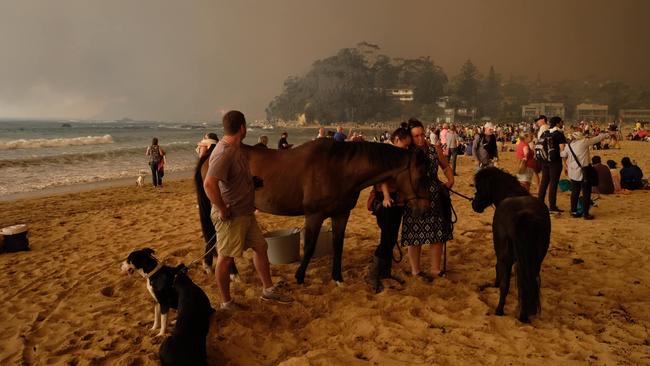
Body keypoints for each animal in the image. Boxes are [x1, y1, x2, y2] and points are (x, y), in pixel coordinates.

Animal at [196, 139, 430, 284]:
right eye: (421, 177)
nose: (424, 209)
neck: (338, 168)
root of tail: (213, 150)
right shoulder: (314, 215)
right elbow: (308, 247)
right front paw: (299, 277)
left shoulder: (341, 214)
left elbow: (338, 246)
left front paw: (337, 278)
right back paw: (232, 274)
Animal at [470, 167, 548, 322]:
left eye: (479, 187)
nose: (474, 204)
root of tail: (524, 215)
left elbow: (499, 271)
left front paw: (495, 283)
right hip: (535, 260)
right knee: (527, 284)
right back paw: (524, 315)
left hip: (506, 256)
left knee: (506, 284)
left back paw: (499, 310)